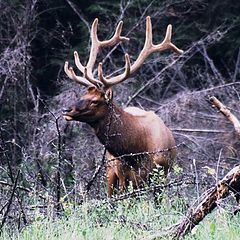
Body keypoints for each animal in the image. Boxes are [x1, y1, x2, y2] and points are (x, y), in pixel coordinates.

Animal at [62, 16, 183, 197]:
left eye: (95, 101)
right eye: (82, 95)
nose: (66, 110)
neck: (136, 151)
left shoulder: (159, 174)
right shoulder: (123, 174)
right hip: (110, 170)